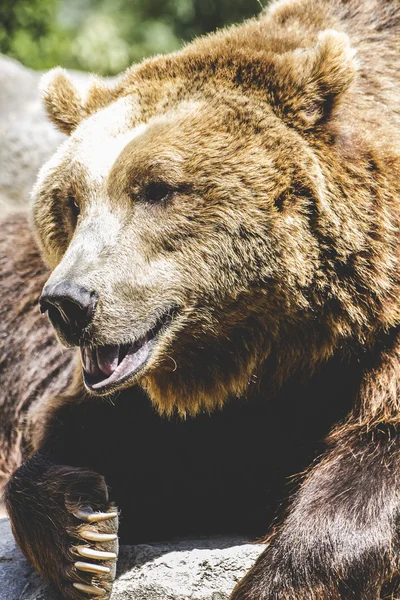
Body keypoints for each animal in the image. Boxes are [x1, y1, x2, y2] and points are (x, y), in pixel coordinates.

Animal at [2, 0, 400, 596]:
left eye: (156, 189)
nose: (68, 303)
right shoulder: (207, 393)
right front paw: (83, 532)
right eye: (71, 200)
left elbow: (373, 460)